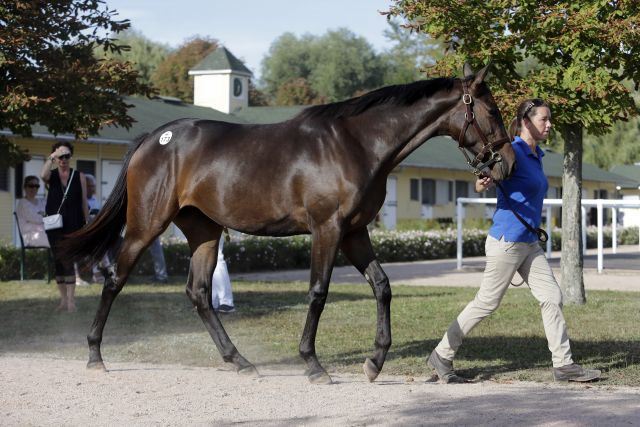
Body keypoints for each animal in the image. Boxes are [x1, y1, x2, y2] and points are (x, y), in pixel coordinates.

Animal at [63, 63, 516, 384]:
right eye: (492, 110)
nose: (507, 163)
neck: (356, 144)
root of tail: (154, 139)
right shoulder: (327, 229)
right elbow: (318, 292)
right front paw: (313, 365)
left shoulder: (354, 232)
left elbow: (382, 286)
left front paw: (374, 361)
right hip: (147, 225)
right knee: (114, 280)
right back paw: (94, 356)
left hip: (205, 231)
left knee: (199, 293)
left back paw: (240, 362)